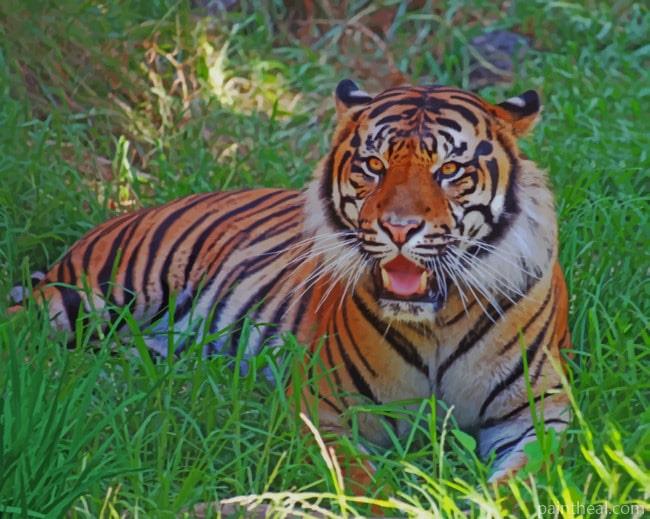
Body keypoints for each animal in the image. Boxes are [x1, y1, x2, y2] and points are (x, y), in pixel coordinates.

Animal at [8, 80, 572, 485]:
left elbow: (527, 478)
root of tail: (127, 211)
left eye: (450, 169)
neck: (436, 323)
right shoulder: (327, 410)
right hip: (93, 295)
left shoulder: (539, 412)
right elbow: (361, 481)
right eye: (373, 165)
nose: (399, 228)